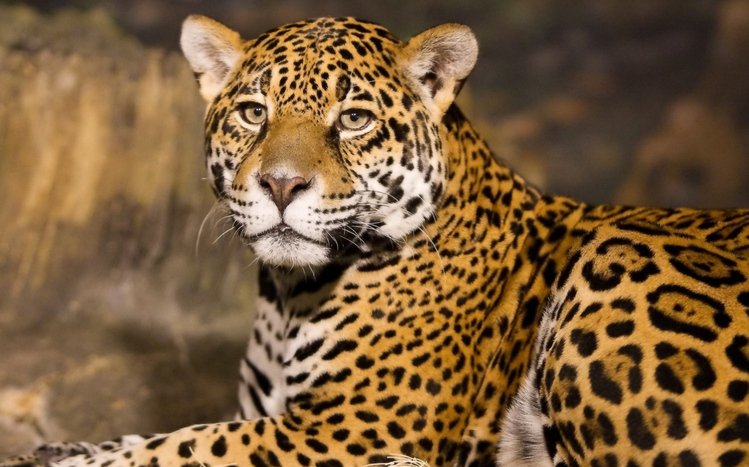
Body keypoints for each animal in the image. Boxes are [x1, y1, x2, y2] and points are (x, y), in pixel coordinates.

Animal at [3, 14, 749, 467]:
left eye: (354, 119)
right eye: (253, 112)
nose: (280, 184)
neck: (287, 296)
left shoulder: (350, 430)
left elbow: (194, 444)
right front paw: (68, 447)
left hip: (617, 251)